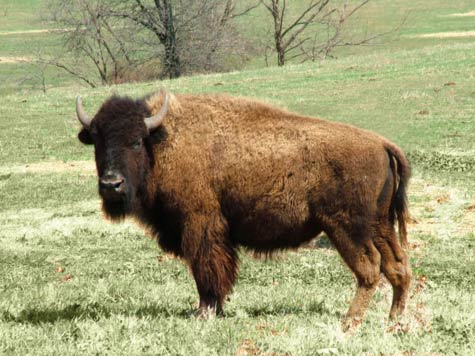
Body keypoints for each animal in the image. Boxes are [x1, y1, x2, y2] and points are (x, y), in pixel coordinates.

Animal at [76, 90, 410, 330]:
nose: (111, 184)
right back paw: (394, 321)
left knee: (370, 269)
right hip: (380, 225)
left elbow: (206, 270)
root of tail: (381, 143)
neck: (162, 142)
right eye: (97, 141)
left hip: (346, 228)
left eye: (135, 141)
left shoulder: (200, 226)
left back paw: (349, 322)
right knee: (397, 267)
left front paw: (204, 312)